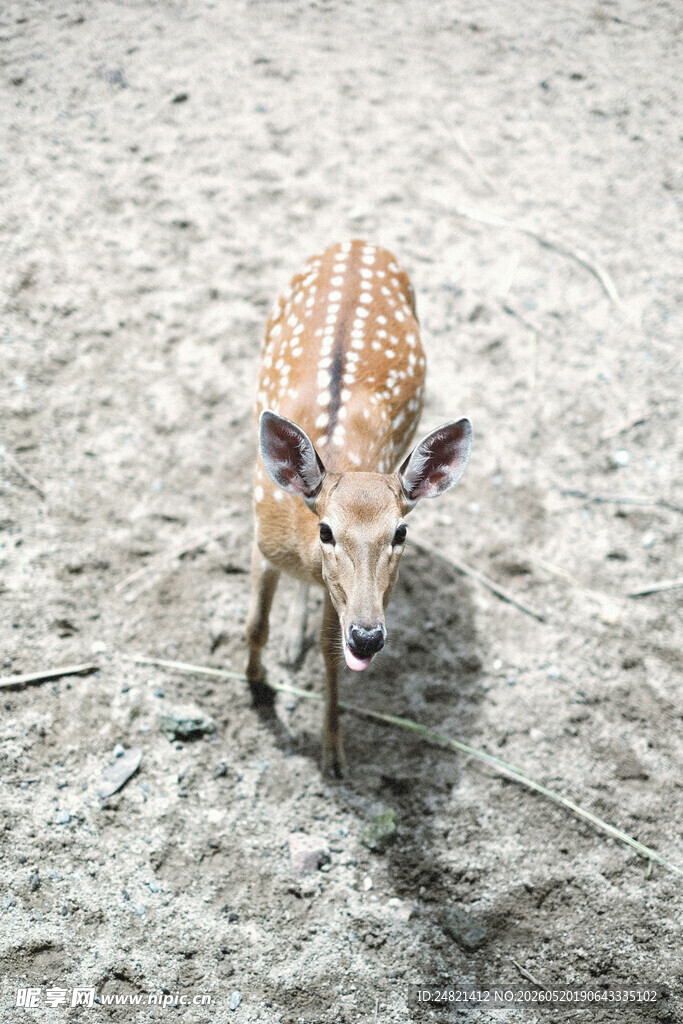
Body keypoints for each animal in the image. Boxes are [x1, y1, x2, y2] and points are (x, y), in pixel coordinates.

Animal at [246, 240, 472, 776]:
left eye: (401, 533)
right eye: (326, 530)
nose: (368, 637)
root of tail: (357, 242)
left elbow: (330, 654)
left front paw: (333, 753)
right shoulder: (260, 539)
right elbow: (255, 625)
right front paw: (257, 687)